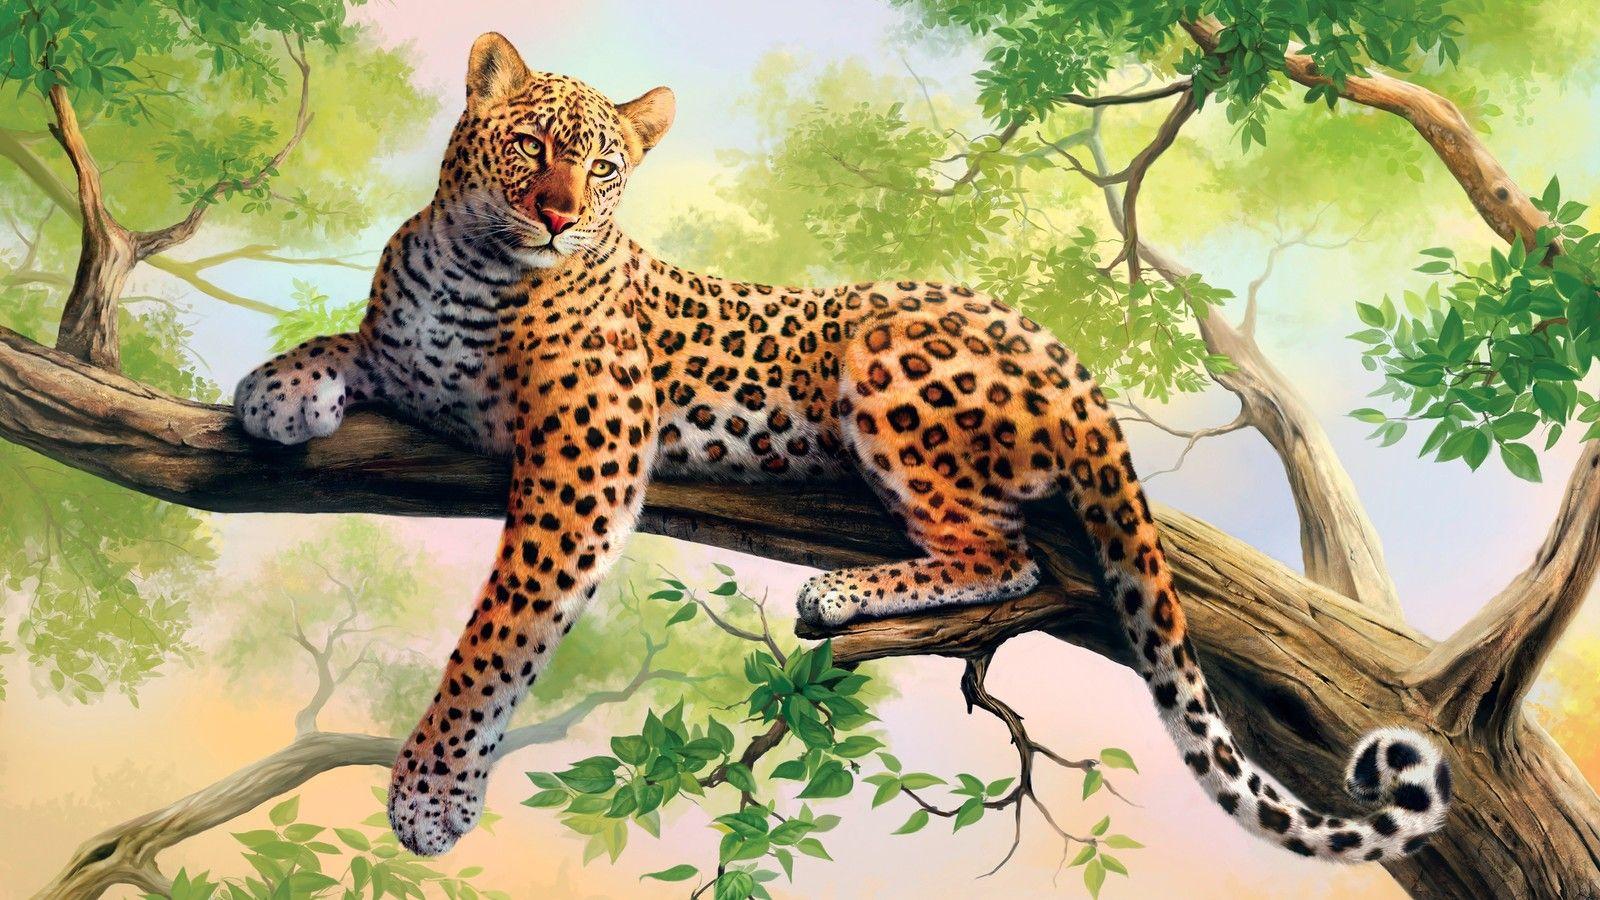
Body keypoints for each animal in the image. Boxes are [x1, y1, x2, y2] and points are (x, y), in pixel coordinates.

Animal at [234, 32, 1451, 861]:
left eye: (606, 168)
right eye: (531, 144)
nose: (558, 215)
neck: (474, 264)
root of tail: (1064, 355)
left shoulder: (586, 461)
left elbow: (499, 632)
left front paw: (432, 791)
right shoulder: (418, 364)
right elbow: (353, 341)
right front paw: (275, 388)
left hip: (885, 361)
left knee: (1002, 551)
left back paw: (840, 594)